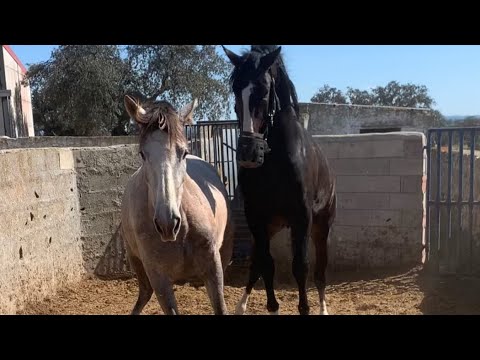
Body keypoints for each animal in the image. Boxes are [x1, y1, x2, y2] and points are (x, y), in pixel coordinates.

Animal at [120, 95, 232, 316]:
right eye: (142, 154)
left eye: (184, 152)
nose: (167, 223)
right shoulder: (159, 280)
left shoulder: (214, 268)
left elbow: (221, 307)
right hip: (135, 260)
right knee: (144, 293)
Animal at [223, 45, 336, 316]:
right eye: (236, 90)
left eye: (264, 91)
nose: (248, 152)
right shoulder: (256, 217)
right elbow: (266, 264)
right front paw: (272, 307)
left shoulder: (302, 218)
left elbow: (301, 266)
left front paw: (305, 308)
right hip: (271, 227)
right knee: (256, 265)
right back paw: (240, 306)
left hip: (321, 227)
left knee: (320, 272)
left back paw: (323, 308)